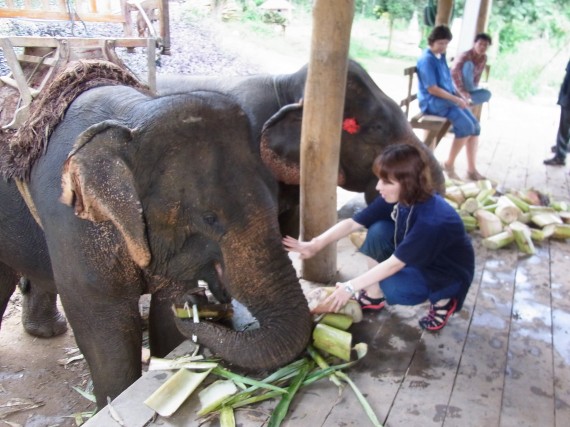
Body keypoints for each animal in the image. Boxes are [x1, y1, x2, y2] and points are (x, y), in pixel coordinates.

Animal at [0, 68, 310, 410]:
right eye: (209, 218)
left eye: (276, 202)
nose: (199, 302)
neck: (133, 117)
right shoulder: (70, 216)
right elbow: (104, 331)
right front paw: (113, 402)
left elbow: (165, 313)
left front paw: (174, 323)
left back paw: (47, 330)